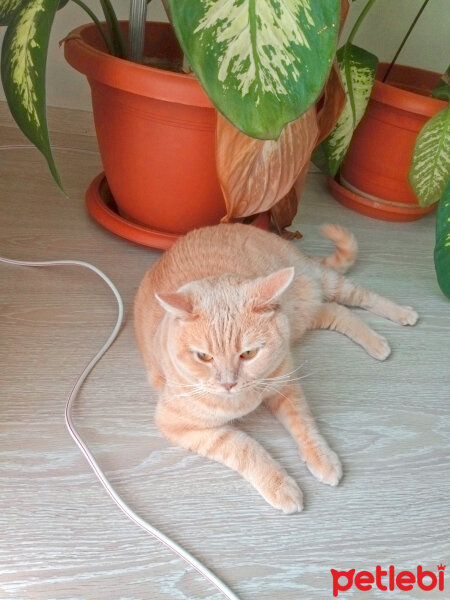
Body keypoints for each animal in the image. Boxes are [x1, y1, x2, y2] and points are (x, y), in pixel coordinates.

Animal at [134, 223, 418, 512]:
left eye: (248, 353)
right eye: (204, 356)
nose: (228, 383)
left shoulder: (286, 386)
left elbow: (305, 425)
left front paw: (322, 457)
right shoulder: (181, 426)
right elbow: (246, 448)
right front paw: (280, 485)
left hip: (323, 283)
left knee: (360, 296)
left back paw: (400, 315)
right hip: (306, 314)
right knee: (338, 311)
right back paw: (376, 340)